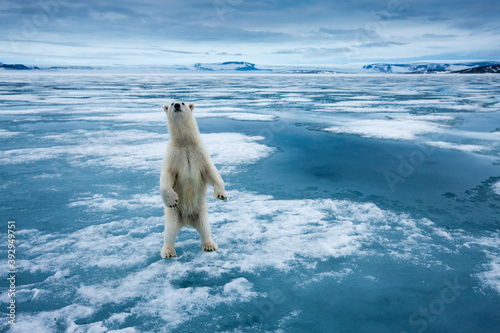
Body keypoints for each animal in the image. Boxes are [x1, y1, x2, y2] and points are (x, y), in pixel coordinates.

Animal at [159, 100, 228, 256]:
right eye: (171, 103)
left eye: (183, 102)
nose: (177, 105)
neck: (185, 142)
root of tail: (187, 221)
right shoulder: (173, 156)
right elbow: (166, 176)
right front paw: (171, 199)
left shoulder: (200, 153)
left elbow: (212, 172)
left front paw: (221, 195)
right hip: (175, 213)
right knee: (170, 230)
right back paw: (168, 251)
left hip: (200, 212)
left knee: (205, 227)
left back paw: (209, 245)